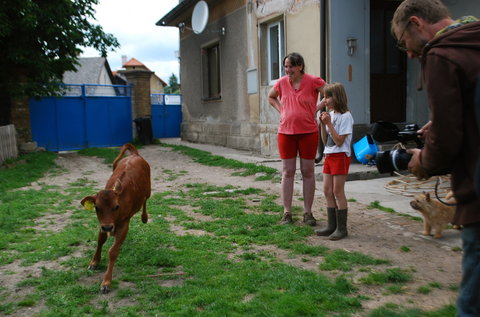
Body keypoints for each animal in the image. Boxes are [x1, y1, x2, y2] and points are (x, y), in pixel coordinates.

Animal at [81, 143, 150, 292]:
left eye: (116, 206)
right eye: (96, 207)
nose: (108, 227)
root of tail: (135, 155)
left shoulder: (124, 223)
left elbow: (113, 251)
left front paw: (106, 282)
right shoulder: (102, 223)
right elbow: (100, 240)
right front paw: (94, 262)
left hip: (148, 191)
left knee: (145, 200)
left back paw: (144, 217)